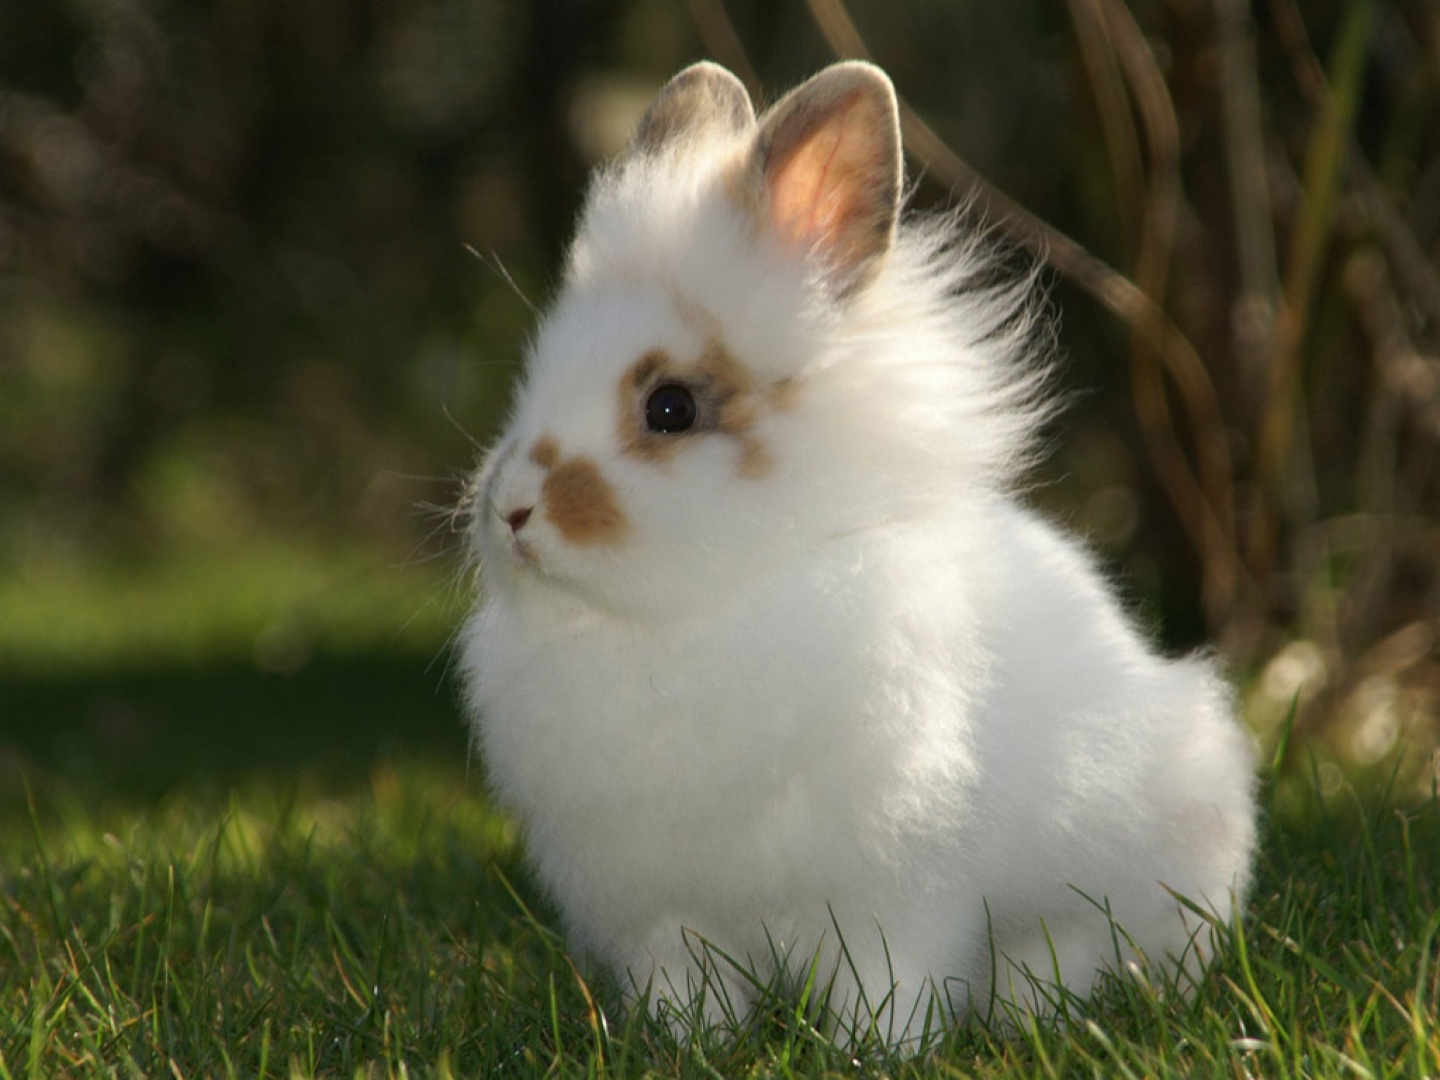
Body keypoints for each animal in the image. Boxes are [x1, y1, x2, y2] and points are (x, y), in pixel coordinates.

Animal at [457, 59, 1257, 1048]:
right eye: (533, 379)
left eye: (671, 407)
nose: (510, 511)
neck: (684, 615)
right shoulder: (667, 914)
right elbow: (688, 987)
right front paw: (690, 1044)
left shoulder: (900, 891)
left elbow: (892, 975)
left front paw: (876, 1048)